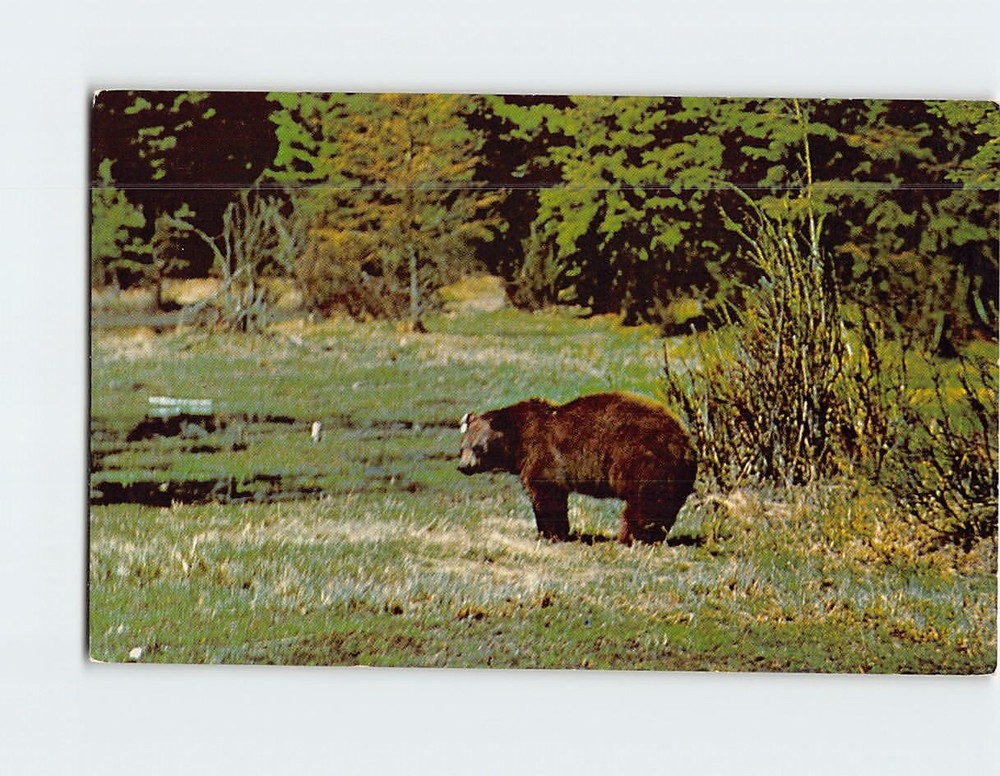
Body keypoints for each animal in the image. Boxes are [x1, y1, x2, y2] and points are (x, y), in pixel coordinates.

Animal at [457, 391, 697, 544]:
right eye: (462, 447)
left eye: (477, 447)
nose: (462, 466)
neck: (518, 438)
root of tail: (686, 442)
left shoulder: (544, 454)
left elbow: (547, 493)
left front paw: (551, 533)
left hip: (643, 459)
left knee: (644, 502)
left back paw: (632, 537)